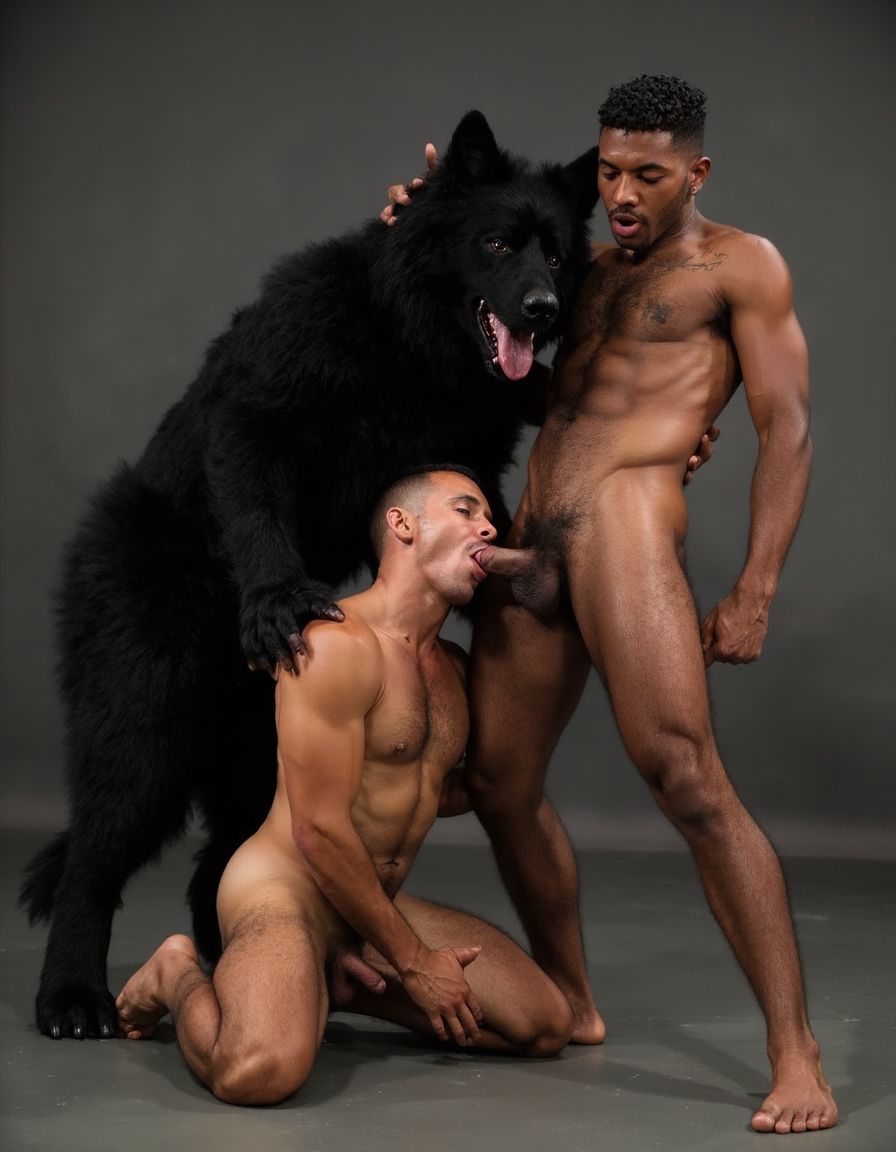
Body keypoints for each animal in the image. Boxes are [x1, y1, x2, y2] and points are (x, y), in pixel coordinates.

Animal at [20, 110, 598, 1039]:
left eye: (557, 255)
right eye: (499, 242)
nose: (544, 312)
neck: (404, 338)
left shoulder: (468, 465)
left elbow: (496, 533)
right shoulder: (259, 419)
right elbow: (257, 506)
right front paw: (276, 602)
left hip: (253, 763)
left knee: (213, 873)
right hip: (143, 734)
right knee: (92, 866)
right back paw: (72, 998)